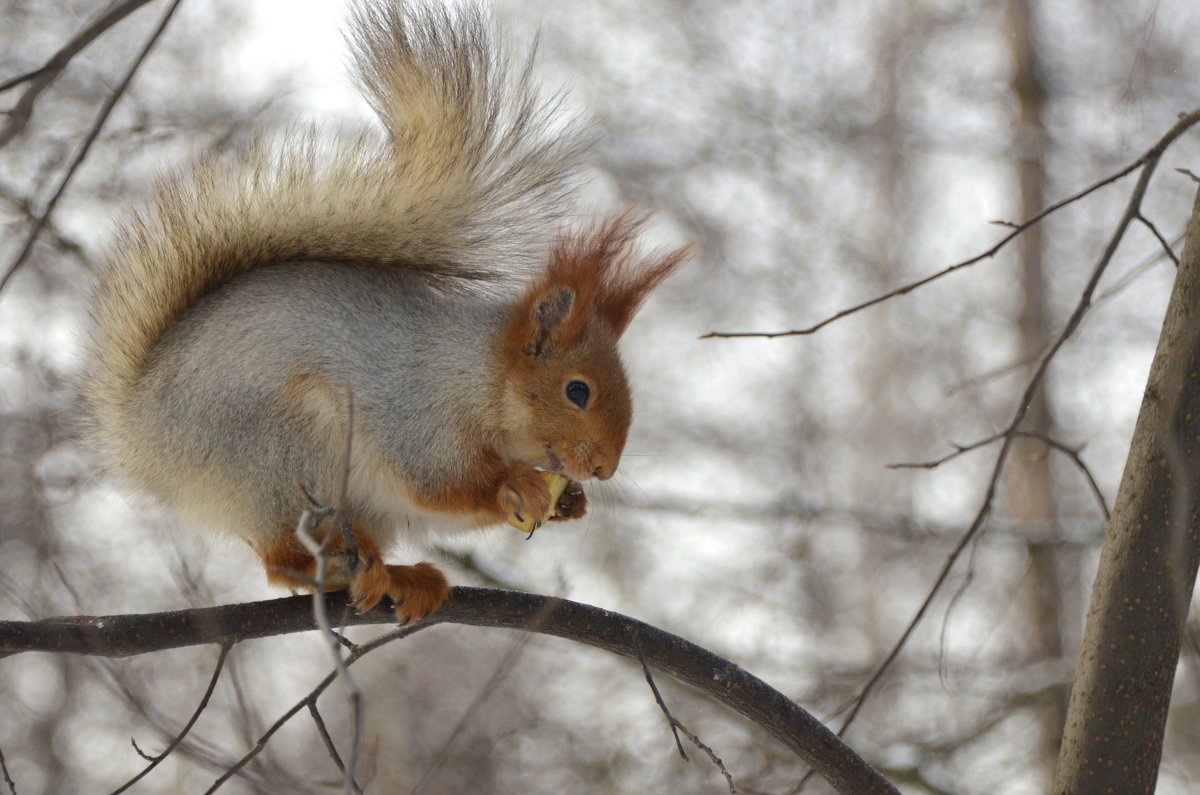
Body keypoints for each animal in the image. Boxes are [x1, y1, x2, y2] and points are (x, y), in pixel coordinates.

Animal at [82, 0, 686, 624]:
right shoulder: (413, 413)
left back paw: (400, 576)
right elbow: (439, 487)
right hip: (284, 455)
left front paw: (572, 503)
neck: (479, 376)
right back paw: (353, 571)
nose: (604, 469)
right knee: (278, 558)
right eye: (577, 391)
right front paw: (514, 484)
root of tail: (141, 442)